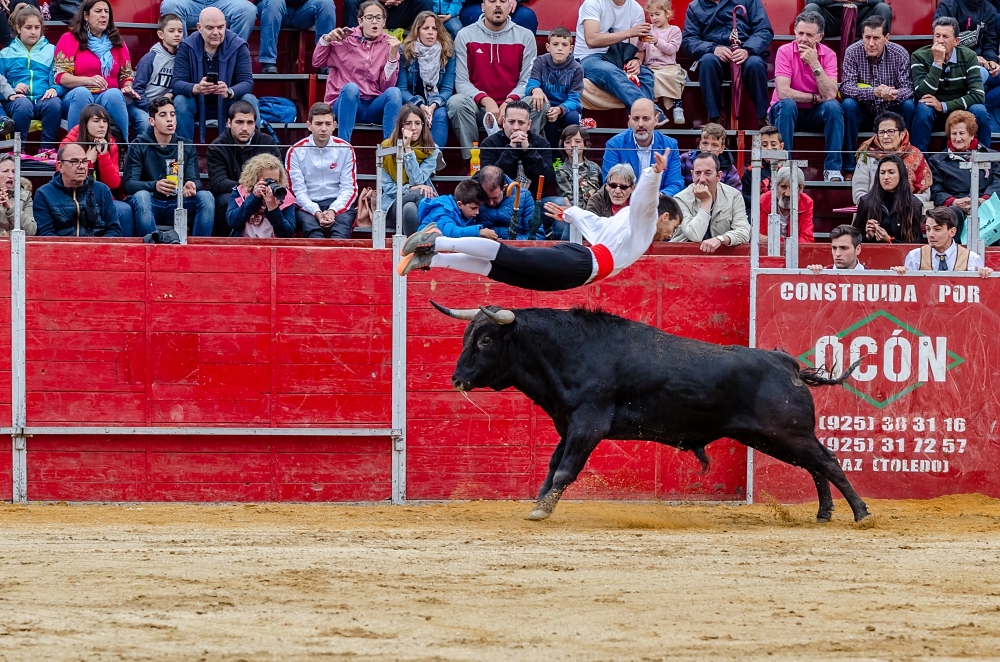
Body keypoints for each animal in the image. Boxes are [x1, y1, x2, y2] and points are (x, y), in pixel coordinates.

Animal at [434, 300, 872, 524]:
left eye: (486, 339)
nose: (456, 379)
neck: (568, 349)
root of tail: (787, 363)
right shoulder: (568, 426)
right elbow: (552, 467)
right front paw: (540, 503)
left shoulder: (588, 425)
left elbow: (564, 469)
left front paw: (542, 510)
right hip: (772, 437)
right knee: (816, 465)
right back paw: (824, 513)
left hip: (787, 432)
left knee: (828, 461)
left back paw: (861, 513)